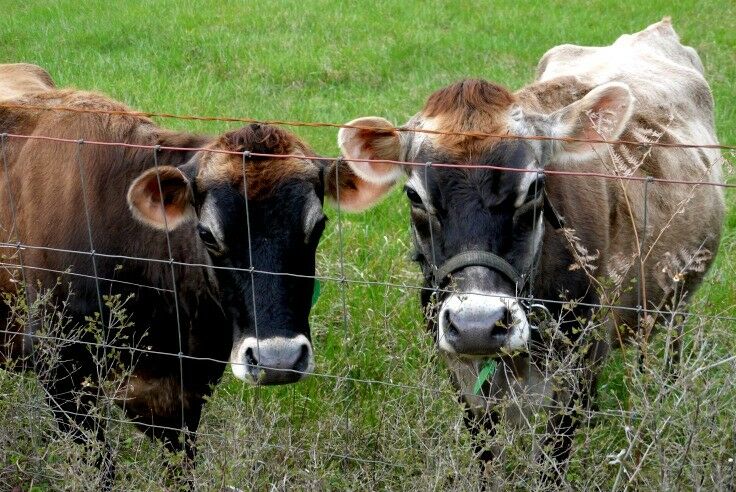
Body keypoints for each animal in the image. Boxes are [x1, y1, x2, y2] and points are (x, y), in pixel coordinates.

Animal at [334, 20, 724, 484]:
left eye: (534, 187)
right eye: (414, 195)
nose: (477, 324)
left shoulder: (572, 373)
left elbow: (551, 464)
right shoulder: (464, 377)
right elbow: (486, 457)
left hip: (677, 295)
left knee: (668, 347)